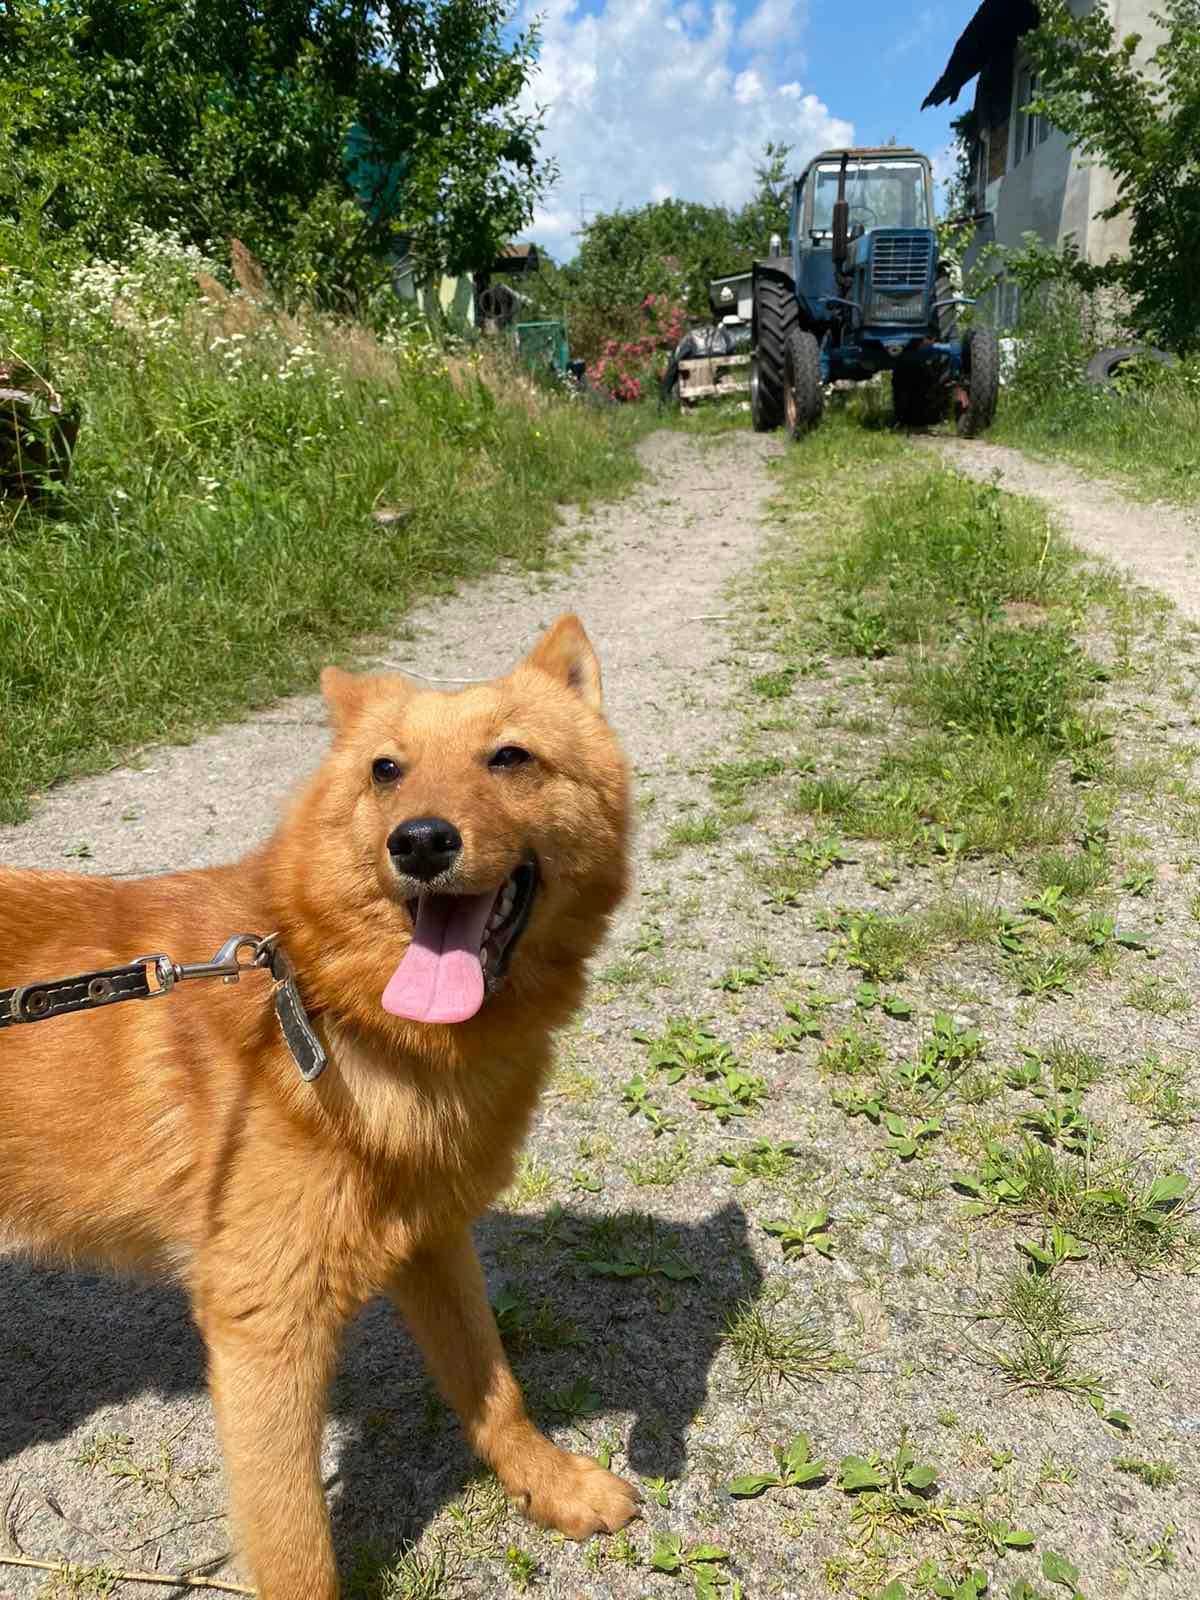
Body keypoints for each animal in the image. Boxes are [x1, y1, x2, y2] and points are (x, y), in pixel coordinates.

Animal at [0, 614, 643, 1600]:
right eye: (385, 769)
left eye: (510, 756)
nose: (421, 842)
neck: (324, 996)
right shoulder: (265, 1332)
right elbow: (298, 1547)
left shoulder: (431, 1238)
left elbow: (492, 1383)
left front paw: (548, 1482)